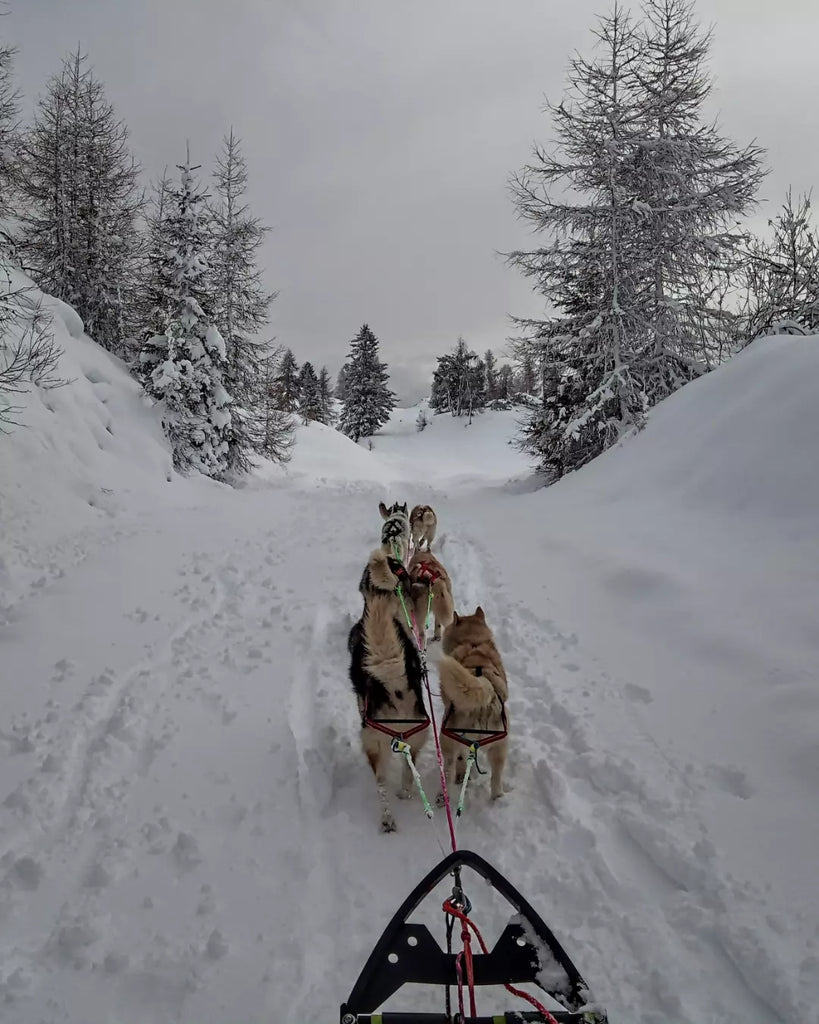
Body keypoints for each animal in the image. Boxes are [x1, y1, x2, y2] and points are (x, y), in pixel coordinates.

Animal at [348, 552, 427, 831]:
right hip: (412, 738)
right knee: (407, 771)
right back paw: (402, 798)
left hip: (373, 743)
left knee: (382, 783)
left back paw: (387, 816)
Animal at [438, 606, 507, 798]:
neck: (473, 642)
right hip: (499, 746)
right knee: (496, 776)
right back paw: (497, 796)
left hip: (448, 738)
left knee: (450, 765)